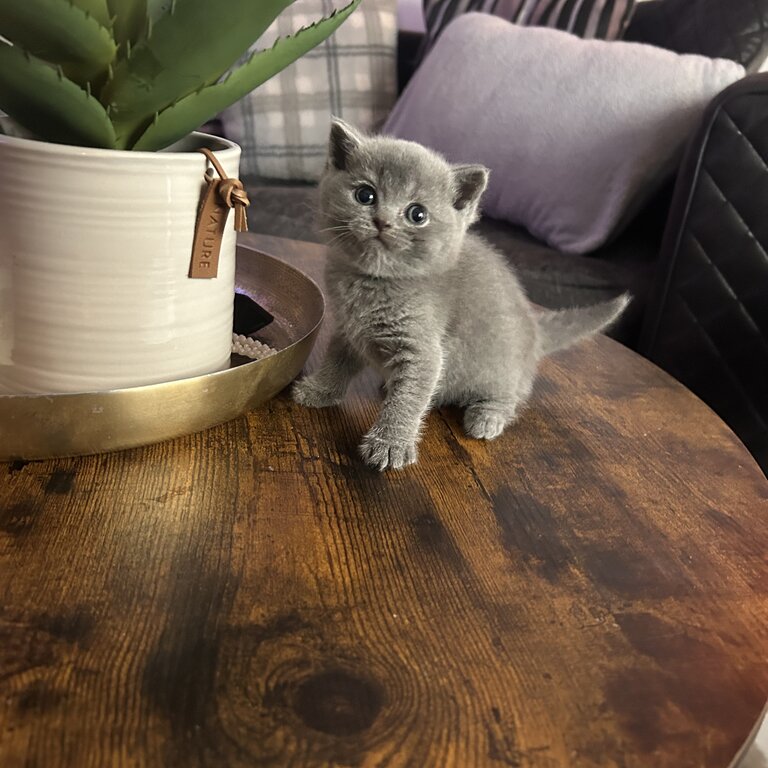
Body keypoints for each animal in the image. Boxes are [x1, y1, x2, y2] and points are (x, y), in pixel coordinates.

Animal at [292, 118, 628, 472]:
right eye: (365, 195)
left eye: (417, 214)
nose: (382, 221)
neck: (373, 282)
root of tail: (536, 330)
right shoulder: (349, 330)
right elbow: (337, 360)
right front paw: (319, 390)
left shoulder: (423, 351)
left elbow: (409, 399)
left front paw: (390, 444)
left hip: (500, 368)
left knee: (510, 396)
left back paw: (487, 417)